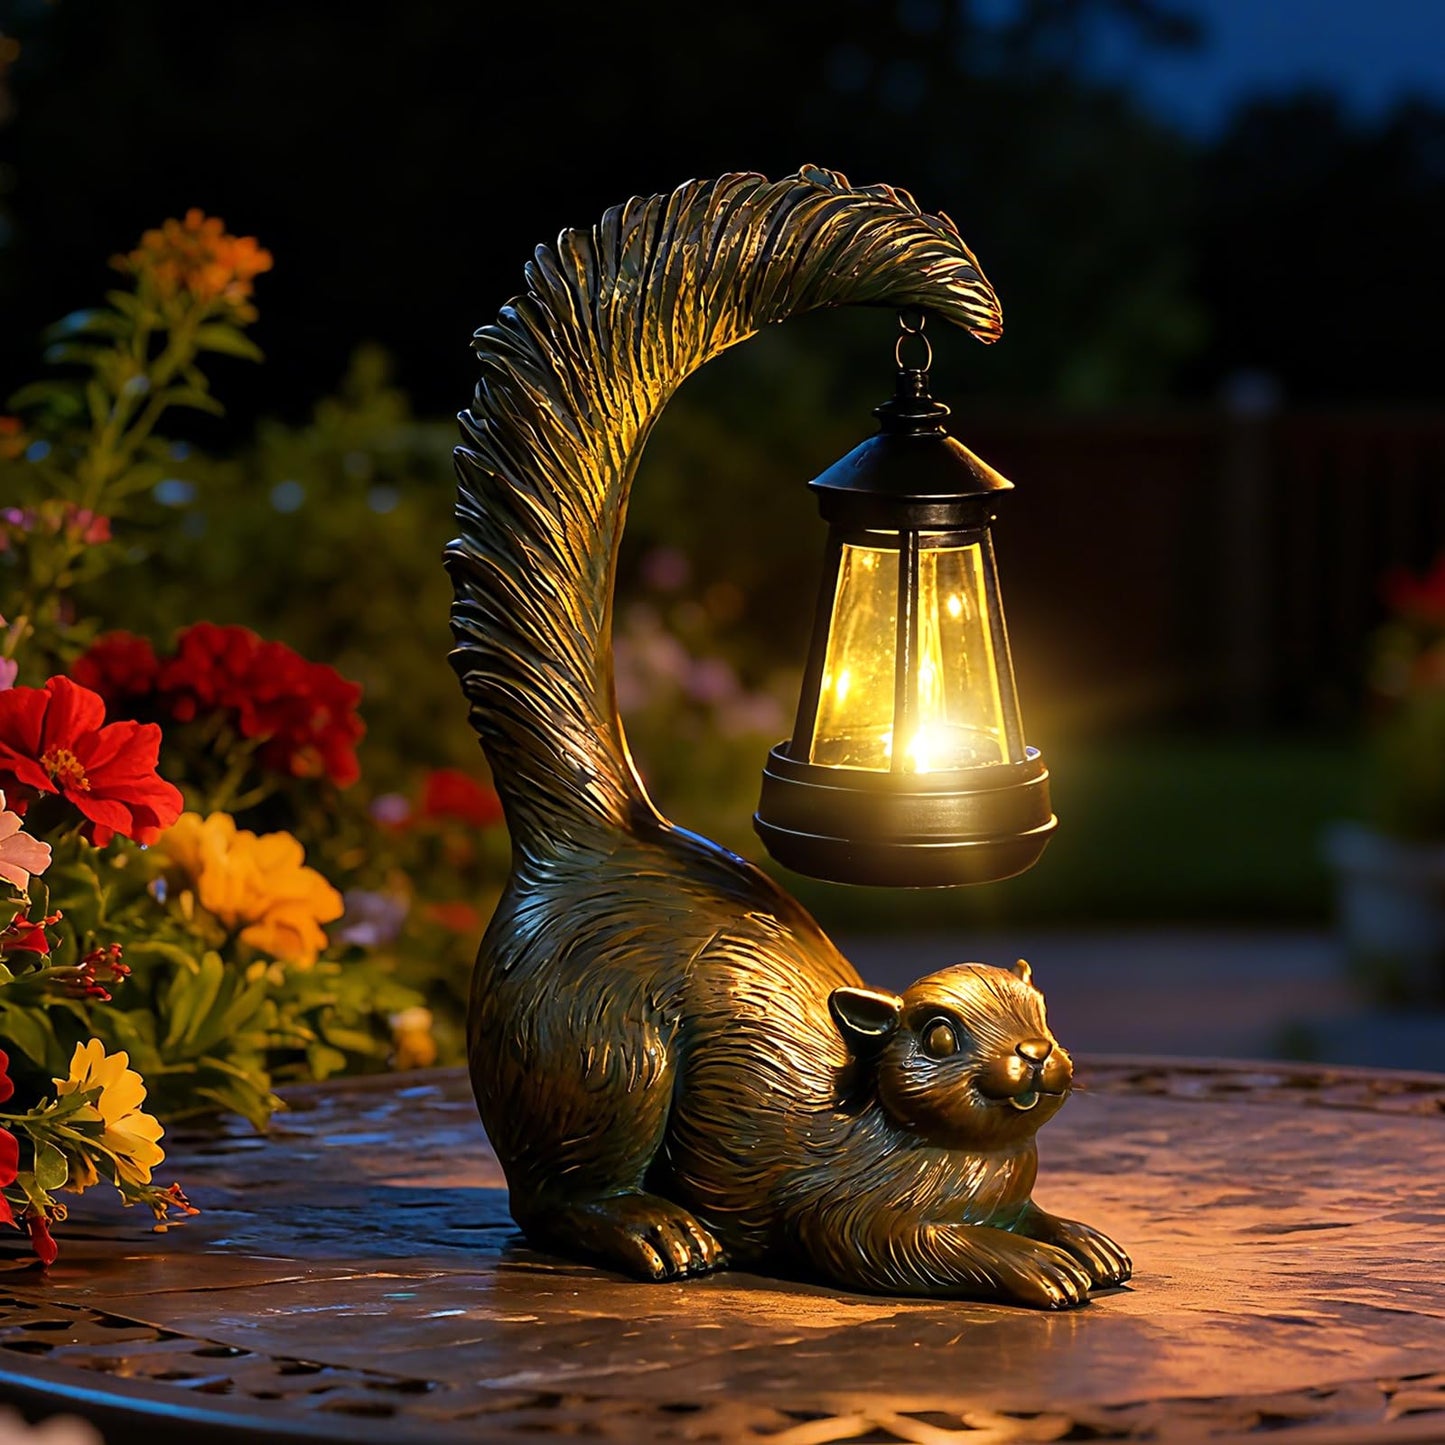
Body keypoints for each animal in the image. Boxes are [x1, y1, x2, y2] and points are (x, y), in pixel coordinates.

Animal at [445, 167, 1131, 1309]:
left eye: (1034, 1013)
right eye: (938, 1032)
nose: (1036, 1058)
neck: (939, 1148)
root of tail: (592, 833)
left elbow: (1032, 1211)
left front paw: (1076, 1234)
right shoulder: (848, 1220)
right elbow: (934, 1244)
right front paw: (1032, 1262)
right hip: (604, 1058)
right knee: (545, 1199)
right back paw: (653, 1228)